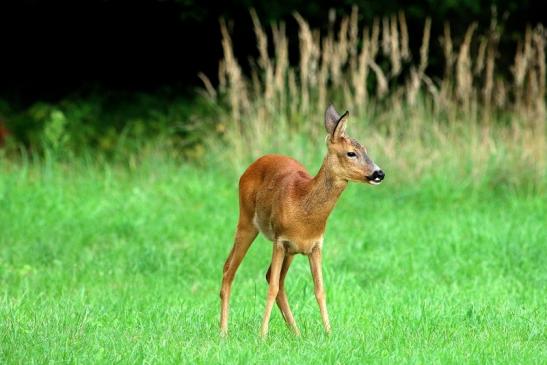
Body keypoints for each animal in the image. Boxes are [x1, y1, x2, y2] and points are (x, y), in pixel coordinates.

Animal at [218, 104, 386, 336]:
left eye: (366, 150)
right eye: (351, 153)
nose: (379, 173)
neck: (303, 209)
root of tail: (250, 167)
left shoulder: (315, 245)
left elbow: (320, 289)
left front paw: (329, 332)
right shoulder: (280, 241)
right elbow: (272, 288)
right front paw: (262, 335)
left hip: (290, 250)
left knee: (271, 277)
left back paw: (296, 332)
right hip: (246, 220)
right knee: (230, 270)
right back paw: (223, 331)